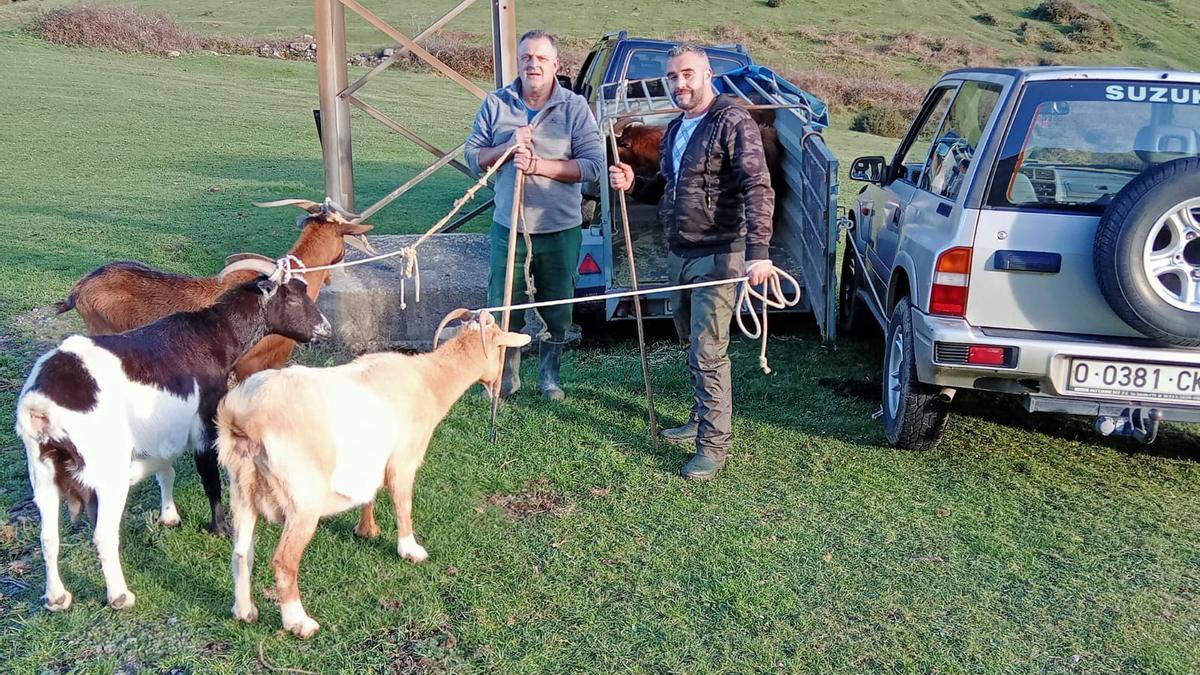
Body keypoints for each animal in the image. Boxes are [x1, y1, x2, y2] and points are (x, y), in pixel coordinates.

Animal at [15, 258, 333, 610]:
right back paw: (120, 596)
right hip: (106, 468)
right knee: (103, 533)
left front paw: (170, 516)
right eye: (291, 298)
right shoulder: (204, 421)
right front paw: (220, 528)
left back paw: (56, 597)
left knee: (48, 536)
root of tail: (40, 408)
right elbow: (209, 477)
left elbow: (165, 470)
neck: (213, 336)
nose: (325, 329)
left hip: (42, 469)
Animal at [214, 309, 530, 634]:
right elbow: (403, 505)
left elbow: (371, 490)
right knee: (284, 560)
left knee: (241, 552)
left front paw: (367, 530)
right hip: (302, 497)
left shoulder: (373, 456)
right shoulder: (404, 459)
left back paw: (244, 611)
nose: (497, 387)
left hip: (243, 489)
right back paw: (298, 622)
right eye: (501, 349)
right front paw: (410, 550)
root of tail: (245, 419)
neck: (428, 380)